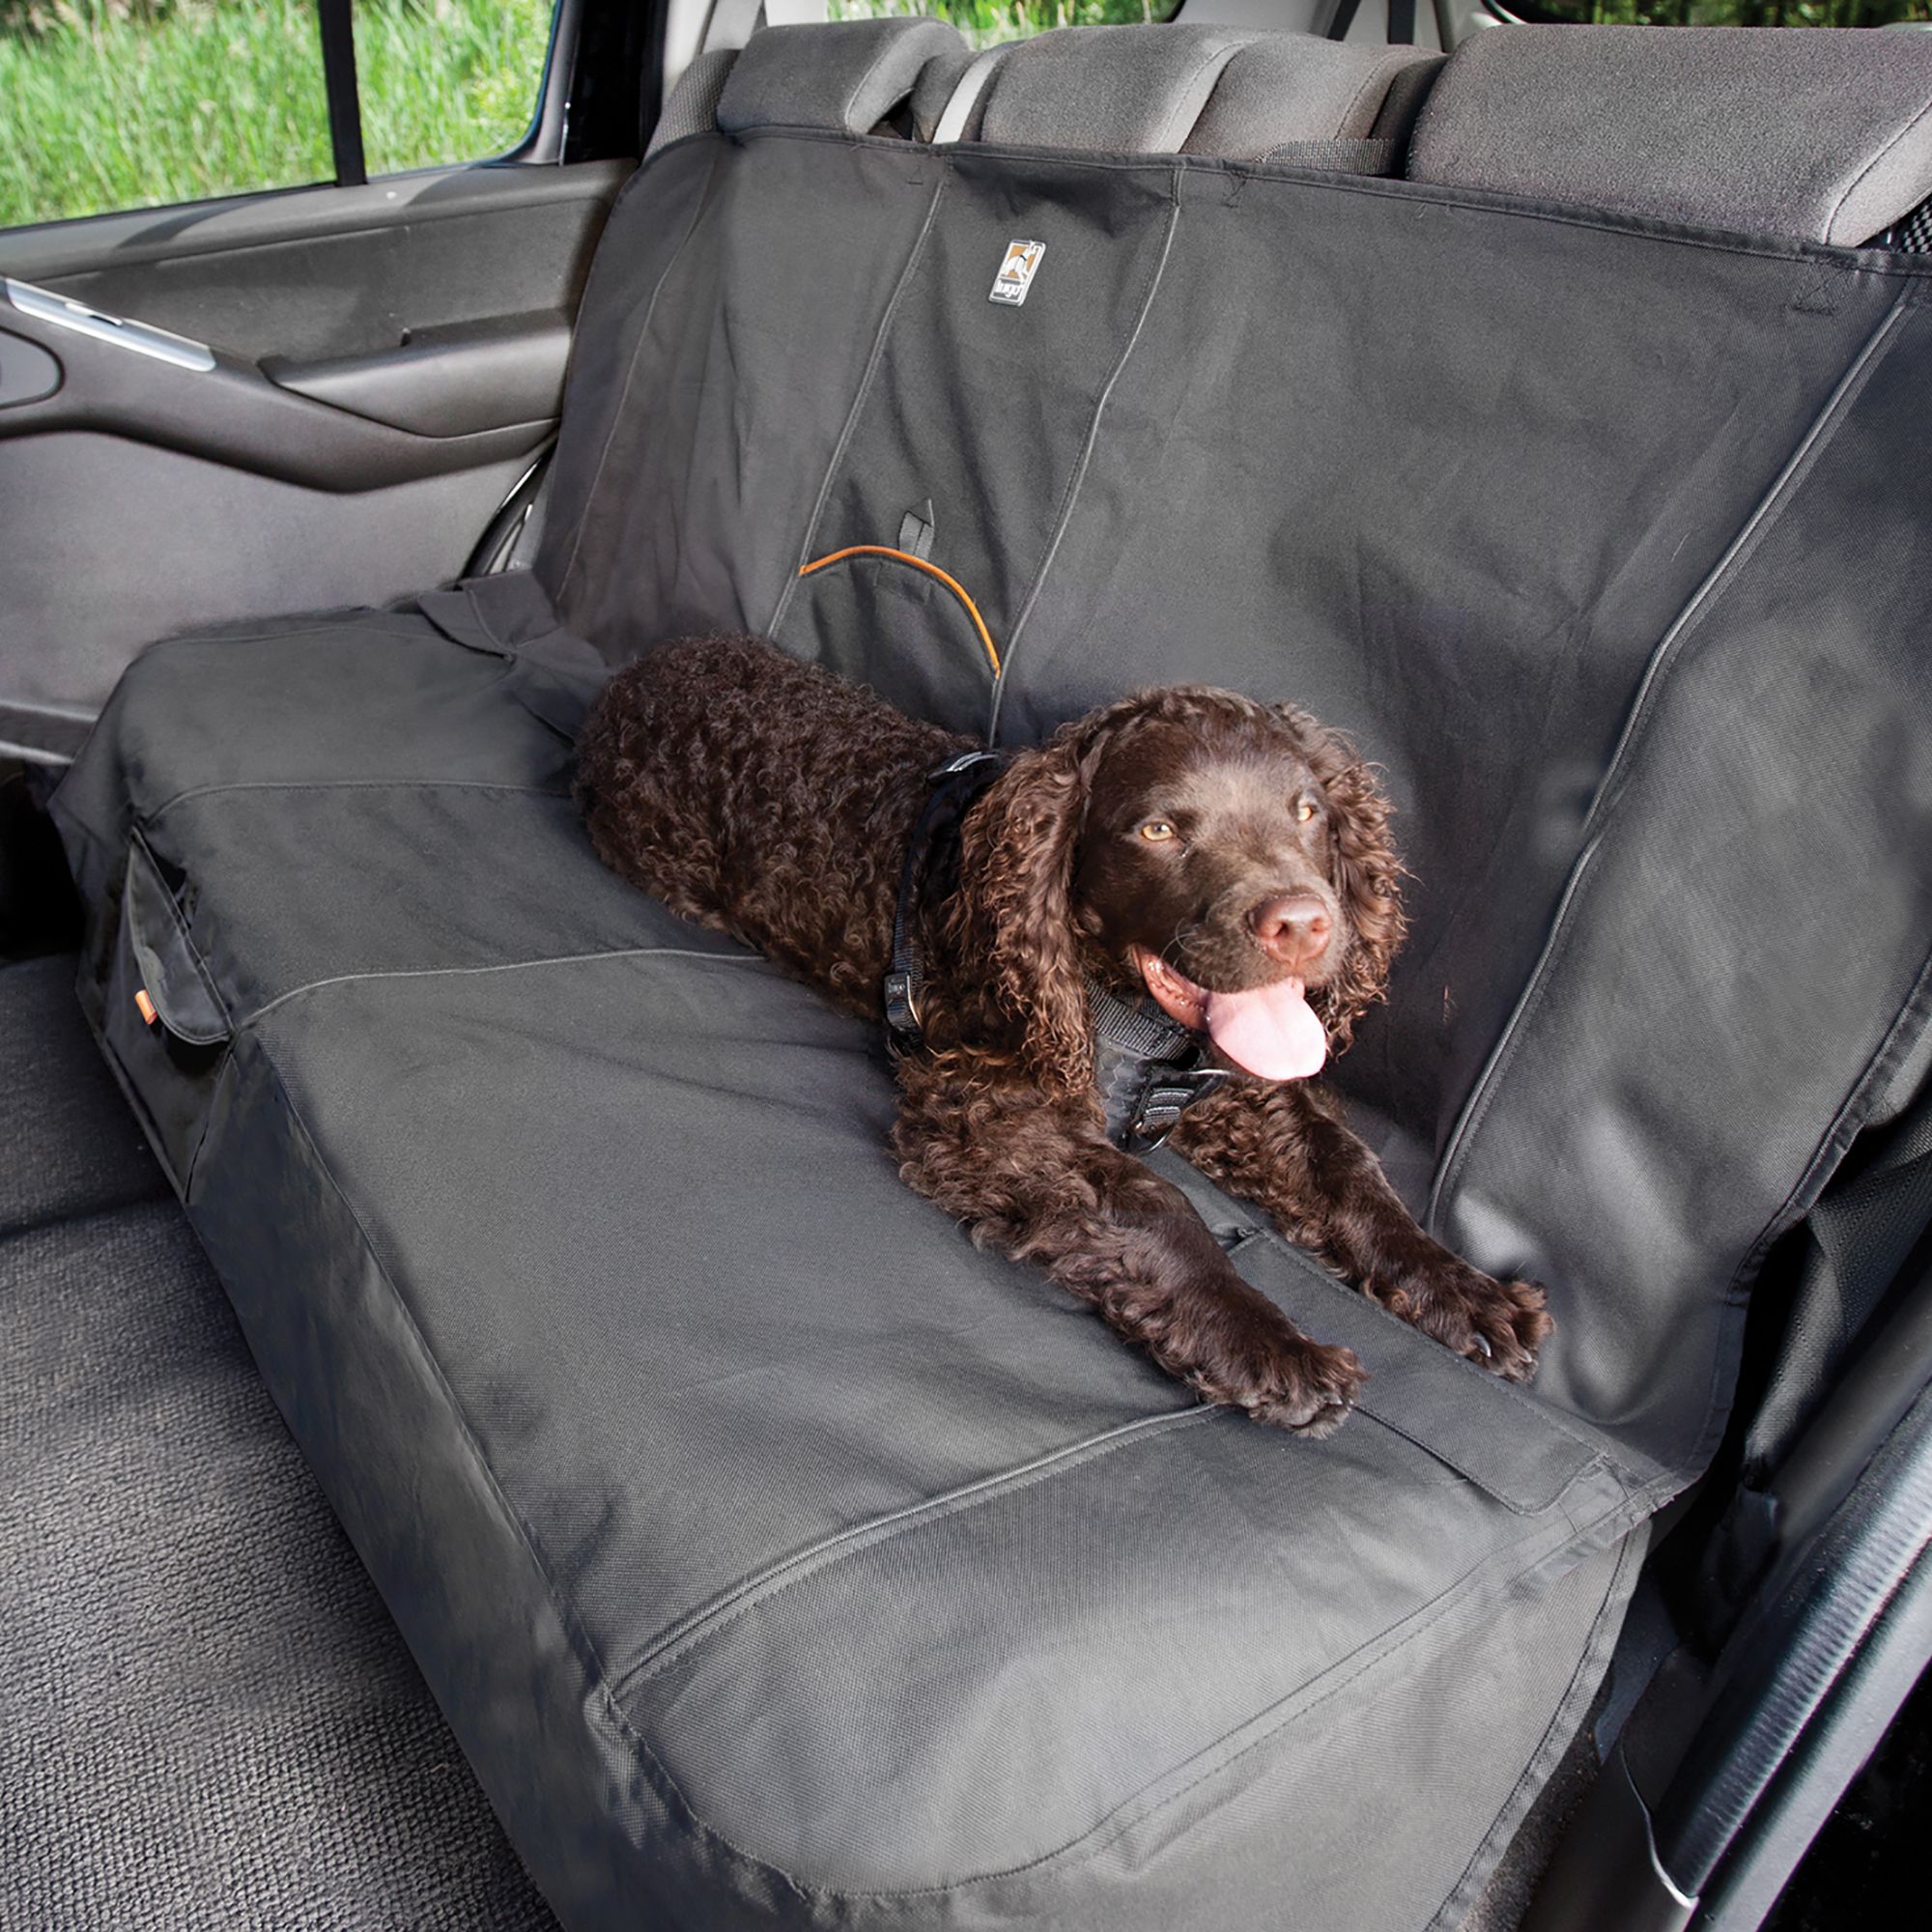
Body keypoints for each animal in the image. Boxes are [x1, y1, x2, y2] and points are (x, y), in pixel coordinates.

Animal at [576, 634, 1553, 1437]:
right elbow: (1154, 1204)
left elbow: (1349, 1170)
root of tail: (642, 667)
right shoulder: (990, 1109)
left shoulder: (1235, 1090)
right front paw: (1267, 1344)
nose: (1303, 926)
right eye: (1158, 829)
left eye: (1308, 812)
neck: (1130, 1012)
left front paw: (1460, 1290)